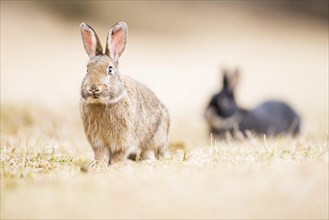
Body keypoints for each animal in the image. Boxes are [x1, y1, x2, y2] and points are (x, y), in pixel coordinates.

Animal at [79, 22, 169, 165]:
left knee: (149, 152)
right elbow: (101, 154)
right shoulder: (98, 142)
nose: (93, 88)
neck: (103, 103)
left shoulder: (124, 140)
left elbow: (119, 154)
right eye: (87, 70)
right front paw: (98, 165)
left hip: (154, 138)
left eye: (110, 70)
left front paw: (116, 165)